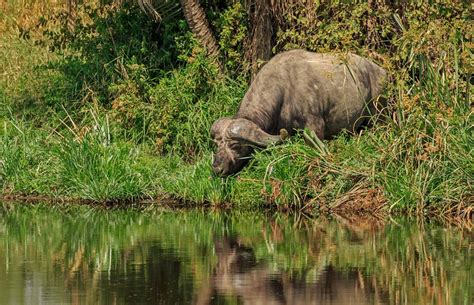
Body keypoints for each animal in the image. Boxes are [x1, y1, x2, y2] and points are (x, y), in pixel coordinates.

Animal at [212, 50, 388, 176]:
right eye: (216, 145)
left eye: (235, 145)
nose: (217, 169)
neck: (284, 89)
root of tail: (380, 71)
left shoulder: (314, 127)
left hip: (379, 113)